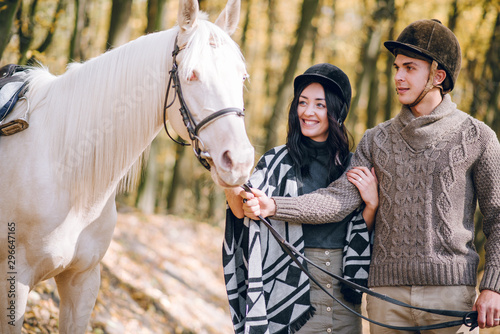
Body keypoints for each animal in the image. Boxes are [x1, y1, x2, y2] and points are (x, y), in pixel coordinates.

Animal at [0, 0, 252, 332]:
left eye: (242, 77)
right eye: (191, 75)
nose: (240, 161)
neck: (69, 172)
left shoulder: (83, 281)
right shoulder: (14, 283)